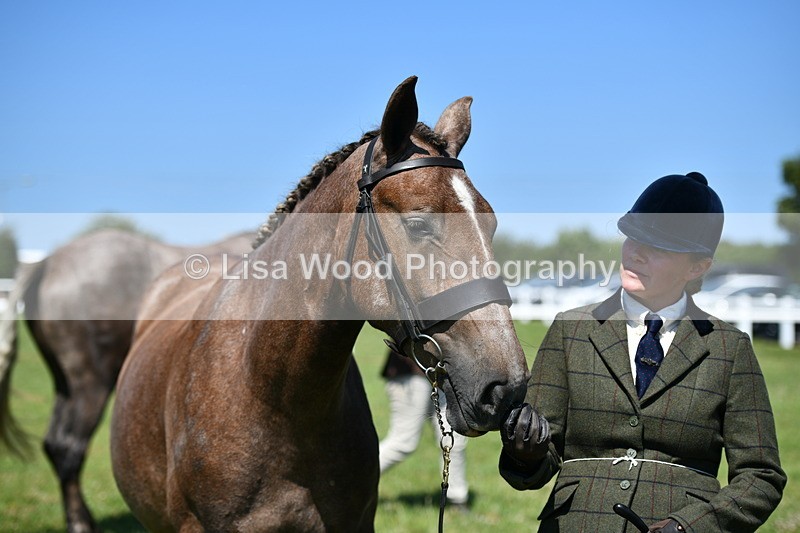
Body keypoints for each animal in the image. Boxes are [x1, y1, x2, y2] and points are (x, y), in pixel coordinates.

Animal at [0, 228, 252, 533]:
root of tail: (48, 262)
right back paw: (81, 523)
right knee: (69, 446)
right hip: (90, 382)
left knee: (54, 444)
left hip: (65, 382)